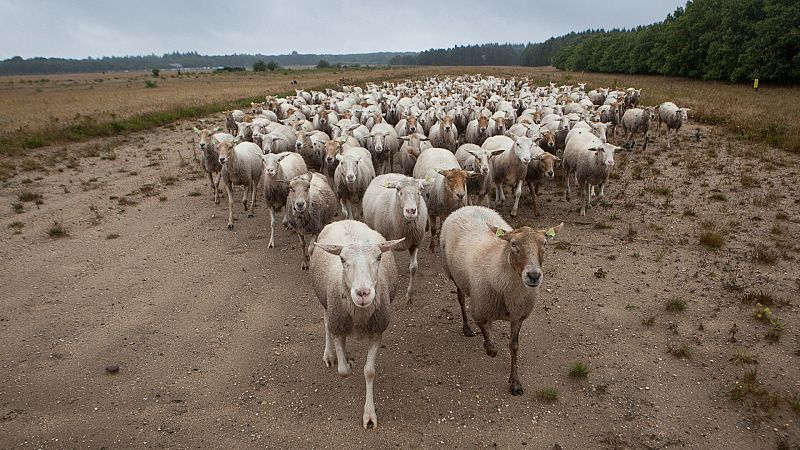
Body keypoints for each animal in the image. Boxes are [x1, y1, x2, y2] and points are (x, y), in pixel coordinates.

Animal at [310, 219, 404, 428]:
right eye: (342, 260)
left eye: (379, 257)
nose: (363, 293)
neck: (360, 315)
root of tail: (345, 220)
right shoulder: (338, 326)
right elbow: (343, 371)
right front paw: (347, 363)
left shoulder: (377, 332)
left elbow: (369, 372)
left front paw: (369, 414)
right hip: (327, 304)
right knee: (326, 323)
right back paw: (330, 355)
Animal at [364, 174, 428, 304]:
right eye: (398, 189)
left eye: (421, 189)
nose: (410, 211)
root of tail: (387, 174)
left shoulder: (415, 243)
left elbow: (414, 268)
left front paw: (409, 295)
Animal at [440, 206, 564, 396]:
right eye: (513, 244)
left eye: (545, 244)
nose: (534, 275)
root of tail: (467, 207)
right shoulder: (480, 311)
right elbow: (491, 347)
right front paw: (488, 346)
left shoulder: (518, 316)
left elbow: (514, 346)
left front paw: (515, 383)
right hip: (454, 275)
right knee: (460, 298)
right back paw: (467, 328)